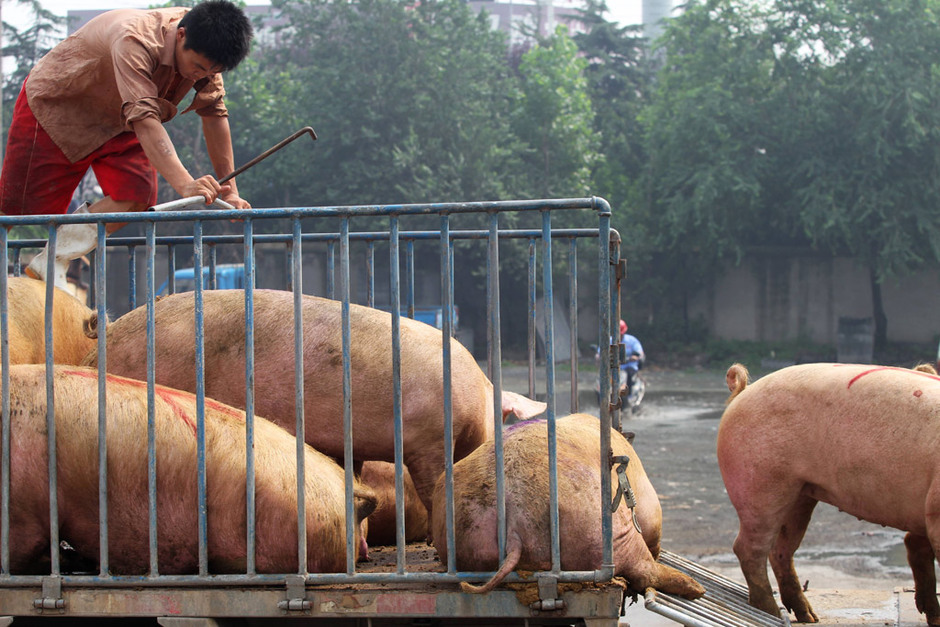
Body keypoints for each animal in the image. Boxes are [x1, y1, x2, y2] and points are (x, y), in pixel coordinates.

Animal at [720, 360, 940, 624]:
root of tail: (743, 391)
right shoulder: (936, 509)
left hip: (800, 493)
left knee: (781, 549)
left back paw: (808, 616)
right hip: (762, 484)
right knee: (749, 548)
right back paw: (771, 612)